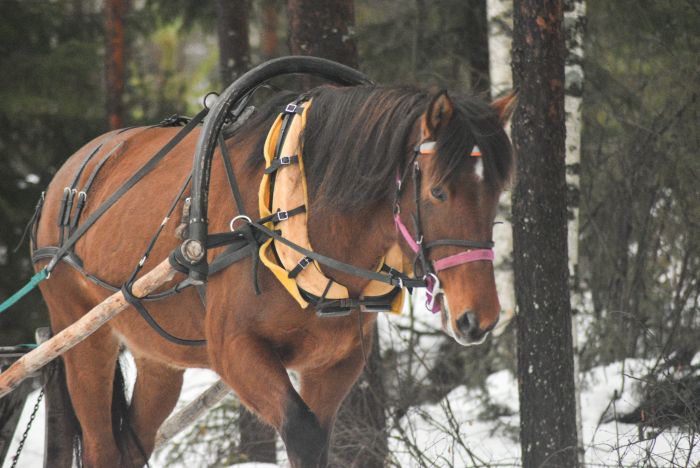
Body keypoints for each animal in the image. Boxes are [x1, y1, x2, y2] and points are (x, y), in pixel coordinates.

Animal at [32, 85, 516, 468]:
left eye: (497, 190)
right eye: (437, 191)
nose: (480, 318)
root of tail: (63, 178)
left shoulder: (336, 363)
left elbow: (319, 436)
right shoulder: (234, 350)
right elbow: (302, 432)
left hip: (159, 358)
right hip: (83, 336)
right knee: (101, 447)